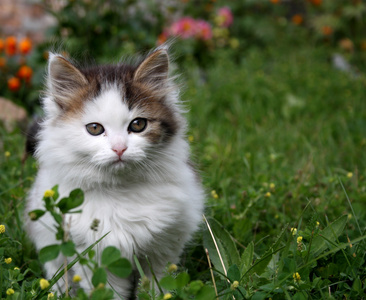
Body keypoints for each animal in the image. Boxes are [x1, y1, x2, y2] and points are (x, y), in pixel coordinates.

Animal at [24, 47, 204, 298]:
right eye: (95, 128)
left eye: (138, 125)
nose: (120, 148)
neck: (121, 191)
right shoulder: (91, 254)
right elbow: (107, 291)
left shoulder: (164, 248)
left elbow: (156, 287)